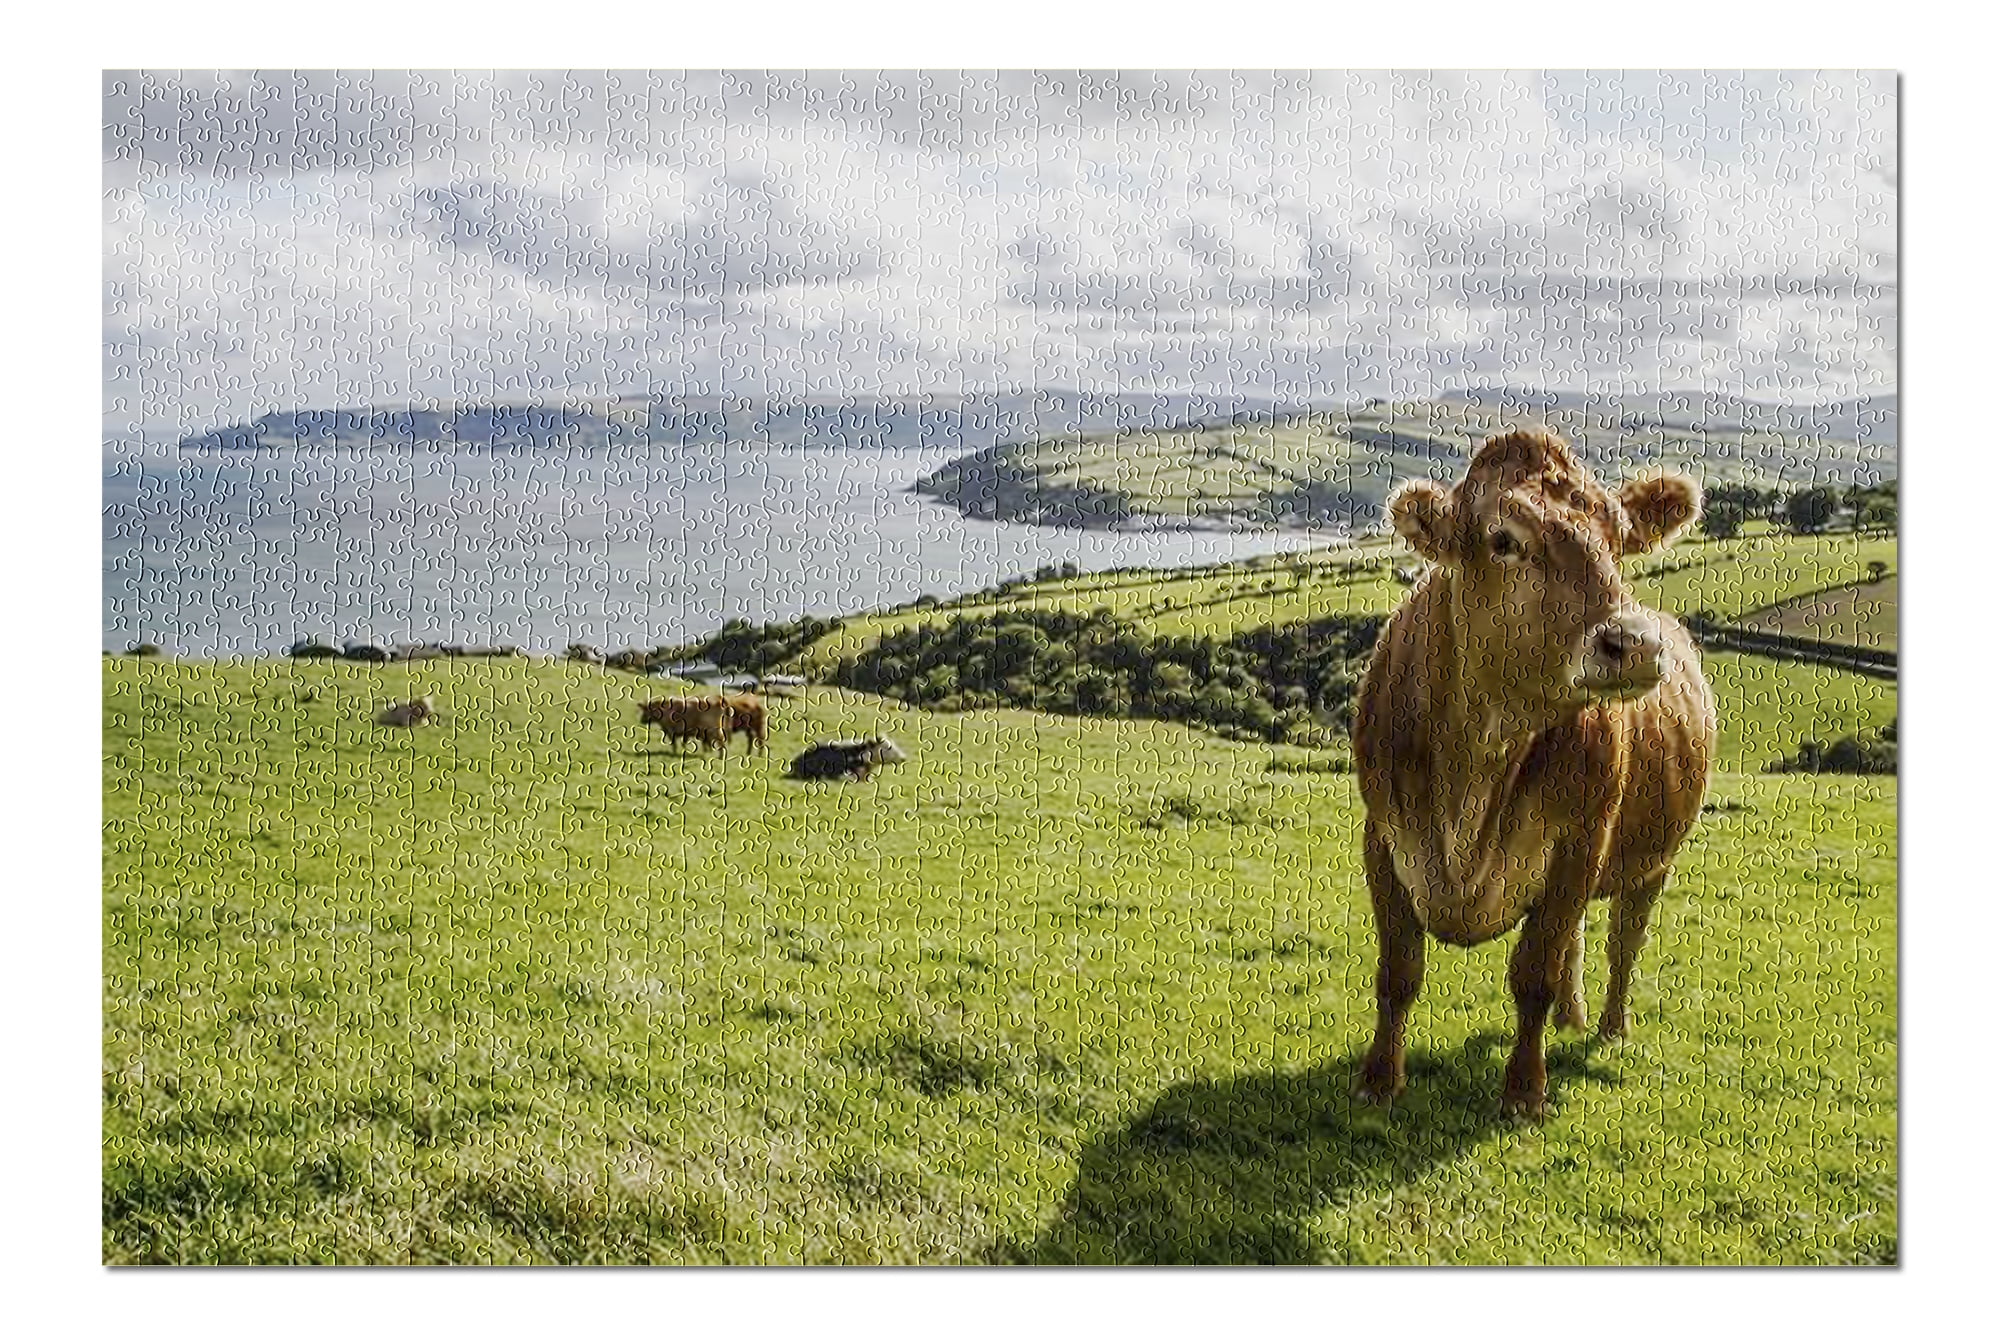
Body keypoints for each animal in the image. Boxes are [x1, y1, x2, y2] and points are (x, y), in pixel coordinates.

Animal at [1351, 429, 1715, 1121]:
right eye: (1503, 539)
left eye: (1620, 537)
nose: (1634, 644)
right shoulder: (1383, 838)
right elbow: (1397, 969)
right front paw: (1379, 1081)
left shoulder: (1580, 842)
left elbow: (1534, 973)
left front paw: (1524, 1091)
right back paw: (1573, 1020)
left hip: (1655, 859)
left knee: (1622, 940)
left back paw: (1609, 1028)